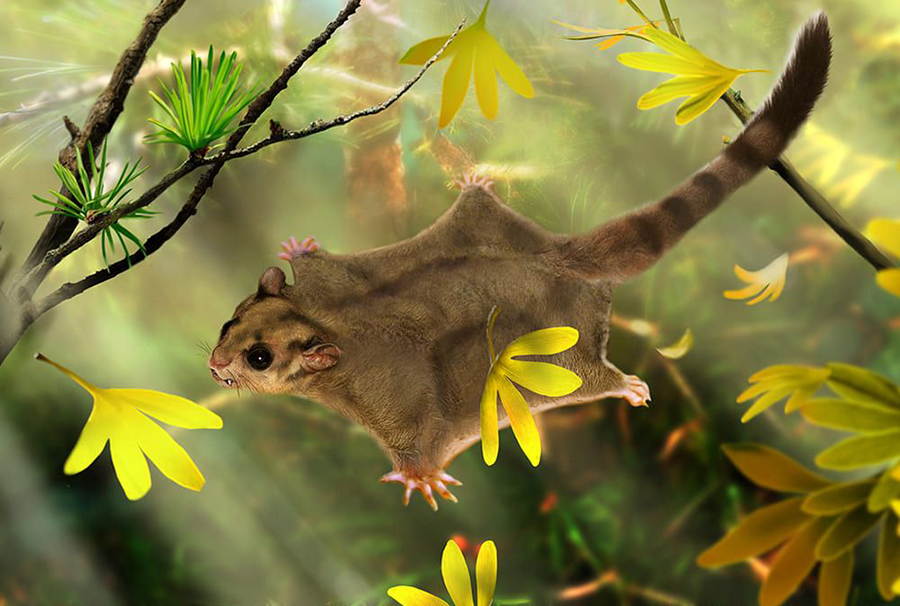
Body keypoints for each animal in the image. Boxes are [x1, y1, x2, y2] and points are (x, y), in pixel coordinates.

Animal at [208, 14, 831, 510]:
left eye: (259, 358)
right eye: (226, 325)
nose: (214, 366)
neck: (319, 320)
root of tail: (557, 258)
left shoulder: (391, 398)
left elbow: (422, 436)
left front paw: (421, 477)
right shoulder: (332, 280)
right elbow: (320, 263)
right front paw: (297, 252)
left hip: (565, 358)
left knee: (591, 377)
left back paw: (624, 384)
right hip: (482, 226)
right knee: (479, 206)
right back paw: (476, 186)